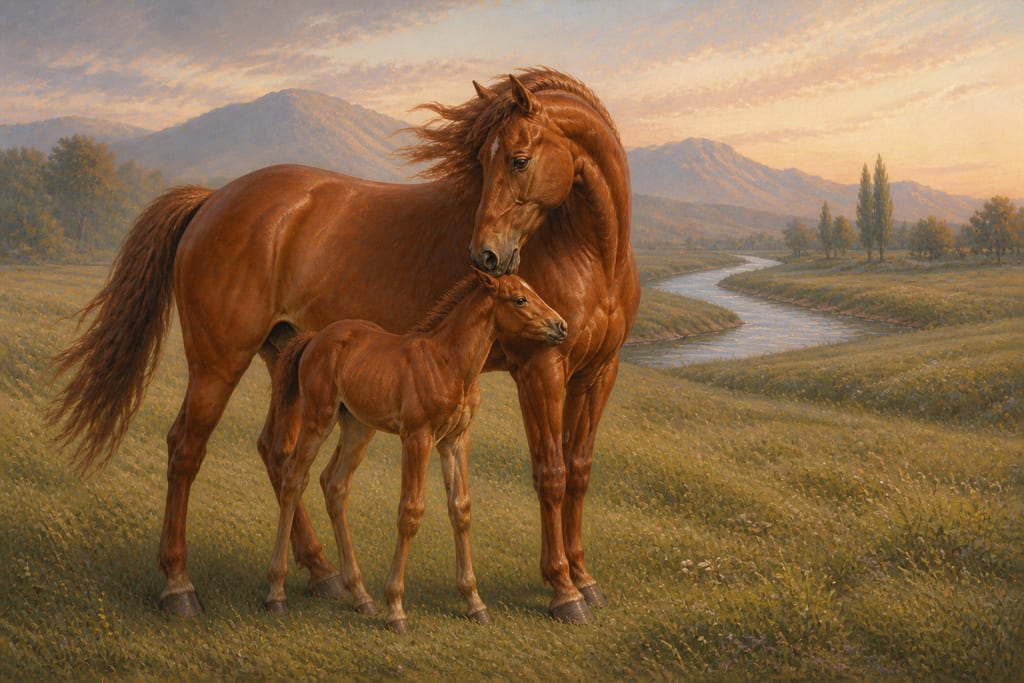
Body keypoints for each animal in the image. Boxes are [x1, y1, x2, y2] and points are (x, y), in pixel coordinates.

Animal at [266, 270, 567, 632]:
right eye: (520, 299)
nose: (561, 326)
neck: (448, 364)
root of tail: (314, 338)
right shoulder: (417, 438)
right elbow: (410, 512)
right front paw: (396, 608)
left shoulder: (456, 441)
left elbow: (461, 510)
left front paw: (475, 603)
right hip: (317, 420)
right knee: (294, 478)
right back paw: (276, 593)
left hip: (357, 426)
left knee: (334, 484)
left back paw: (361, 596)